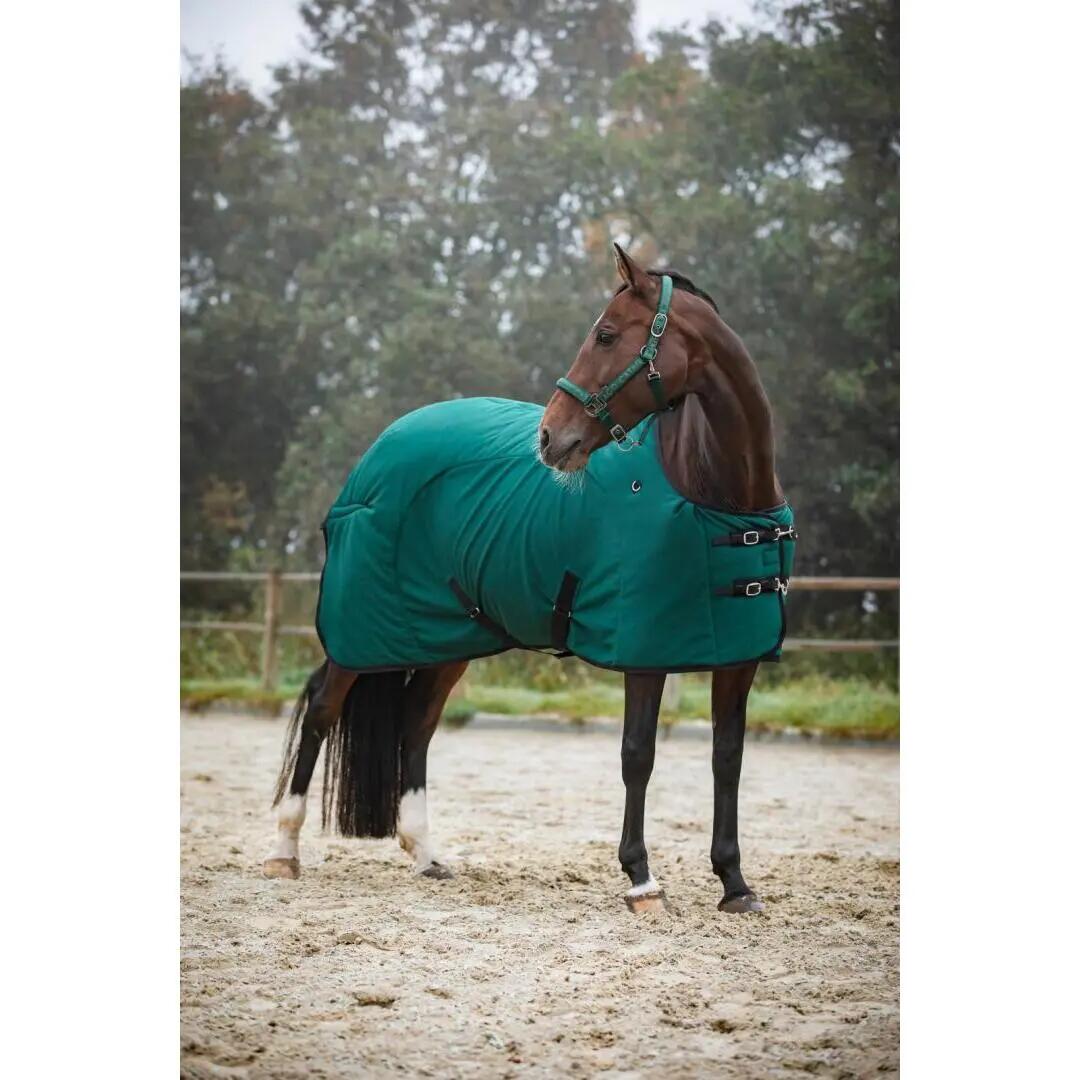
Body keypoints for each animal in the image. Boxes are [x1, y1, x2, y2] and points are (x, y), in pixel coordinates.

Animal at [264, 242, 790, 915]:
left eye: (606, 334)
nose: (549, 436)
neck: (712, 493)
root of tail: (378, 453)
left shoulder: (738, 658)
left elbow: (728, 758)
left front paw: (734, 884)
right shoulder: (643, 651)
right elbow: (637, 755)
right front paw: (641, 879)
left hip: (443, 637)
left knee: (417, 723)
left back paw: (427, 854)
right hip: (361, 632)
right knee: (323, 711)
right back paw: (285, 850)